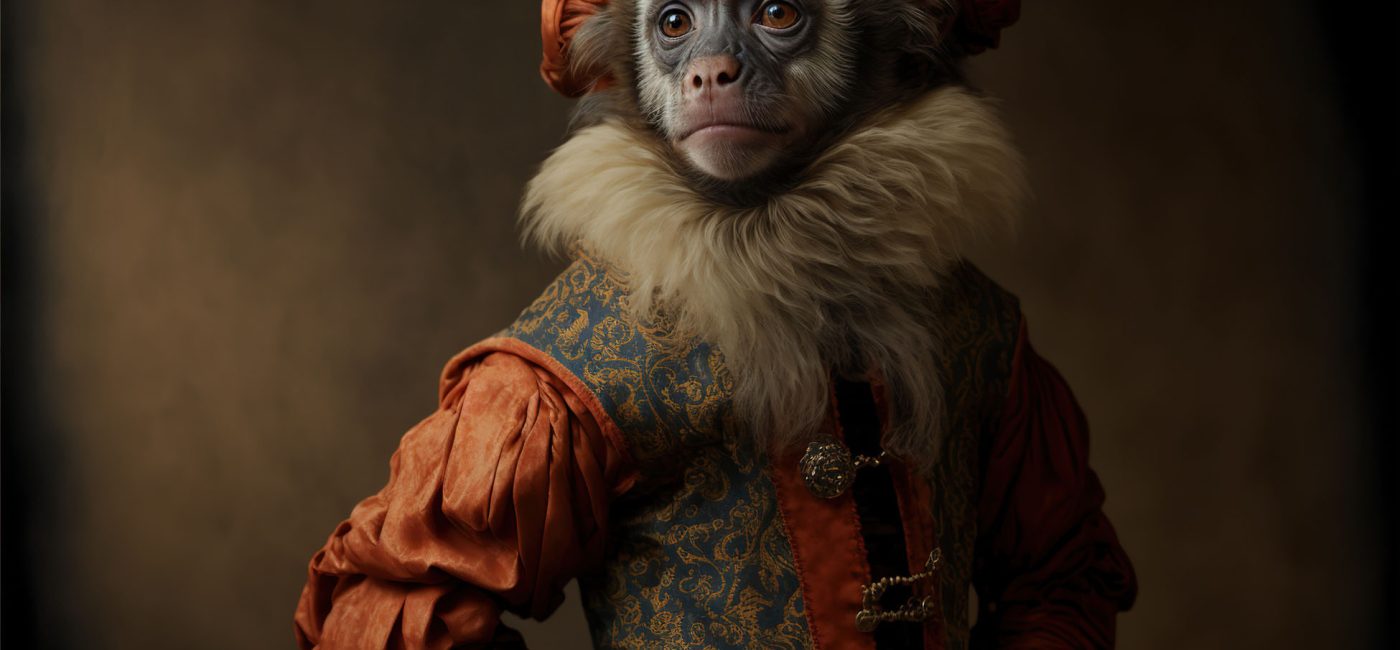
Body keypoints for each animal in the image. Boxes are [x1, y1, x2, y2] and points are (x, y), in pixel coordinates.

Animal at [295, 3, 1138, 648]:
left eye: (777, 13)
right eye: (675, 22)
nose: (709, 74)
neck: (770, 230)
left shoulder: (1006, 361)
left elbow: (1061, 560)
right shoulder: (526, 396)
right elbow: (398, 591)